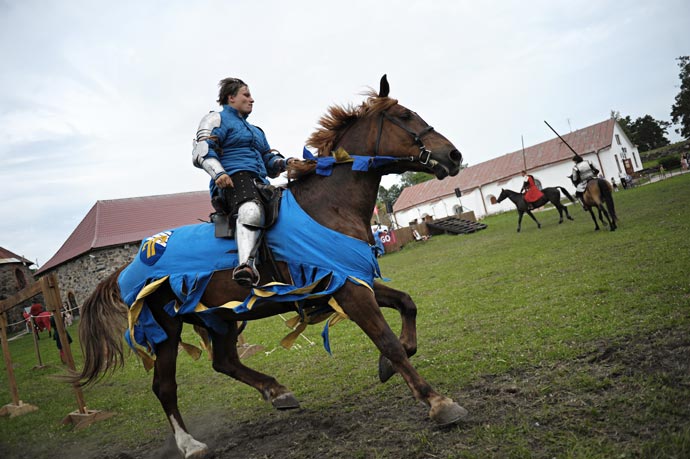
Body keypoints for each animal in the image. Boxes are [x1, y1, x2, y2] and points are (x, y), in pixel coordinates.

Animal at [70, 74, 464, 456]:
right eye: (405, 116)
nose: (454, 154)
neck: (330, 205)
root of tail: (130, 265)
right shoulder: (351, 293)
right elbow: (388, 341)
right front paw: (437, 402)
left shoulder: (352, 281)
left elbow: (407, 305)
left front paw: (389, 367)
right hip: (166, 328)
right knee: (165, 386)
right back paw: (190, 444)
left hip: (219, 319)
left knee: (224, 362)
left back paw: (277, 392)